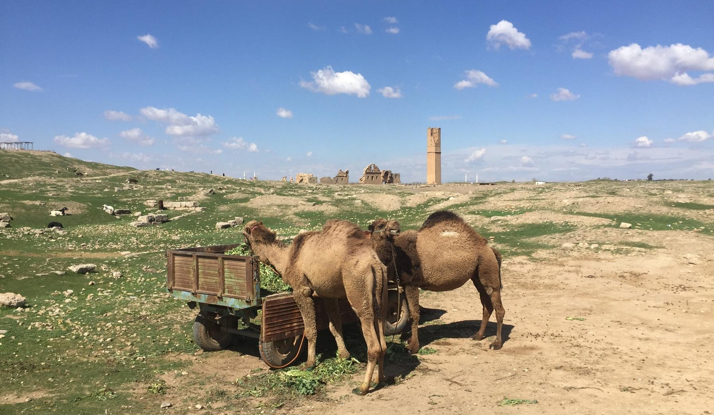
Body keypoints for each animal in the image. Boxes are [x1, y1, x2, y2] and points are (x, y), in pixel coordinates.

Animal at [242, 219, 386, 394]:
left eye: (246, 239)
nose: (245, 249)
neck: (287, 259)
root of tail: (374, 263)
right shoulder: (327, 294)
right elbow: (334, 326)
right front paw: (343, 355)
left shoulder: (301, 290)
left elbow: (310, 330)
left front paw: (309, 364)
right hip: (380, 294)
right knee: (382, 339)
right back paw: (380, 380)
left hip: (358, 288)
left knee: (373, 343)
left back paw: (363, 387)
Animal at [370, 211, 504, 354]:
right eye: (379, 225)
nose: (396, 225)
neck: (396, 255)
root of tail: (490, 249)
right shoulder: (404, 283)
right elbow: (410, 312)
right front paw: (410, 341)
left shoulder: (412, 283)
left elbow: (414, 314)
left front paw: (413, 347)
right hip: (478, 276)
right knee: (487, 306)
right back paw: (478, 336)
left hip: (488, 269)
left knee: (498, 306)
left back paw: (496, 343)